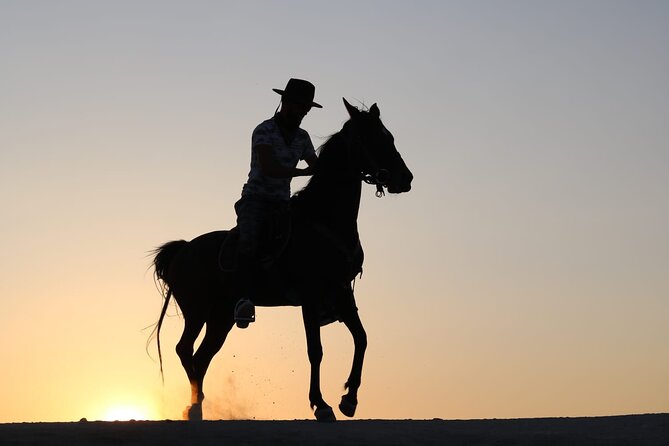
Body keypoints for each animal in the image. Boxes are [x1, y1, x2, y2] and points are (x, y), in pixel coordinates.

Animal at [153, 98, 412, 422]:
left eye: (390, 136)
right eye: (372, 138)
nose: (405, 179)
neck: (325, 219)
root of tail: (183, 249)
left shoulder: (341, 293)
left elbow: (362, 338)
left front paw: (349, 399)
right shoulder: (311, 296)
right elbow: (316, 350)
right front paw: (321, 404)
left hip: (221, 317)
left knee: (201, 356)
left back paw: (197, 403)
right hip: (197, 311)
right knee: (185, 349)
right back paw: (195, 405)